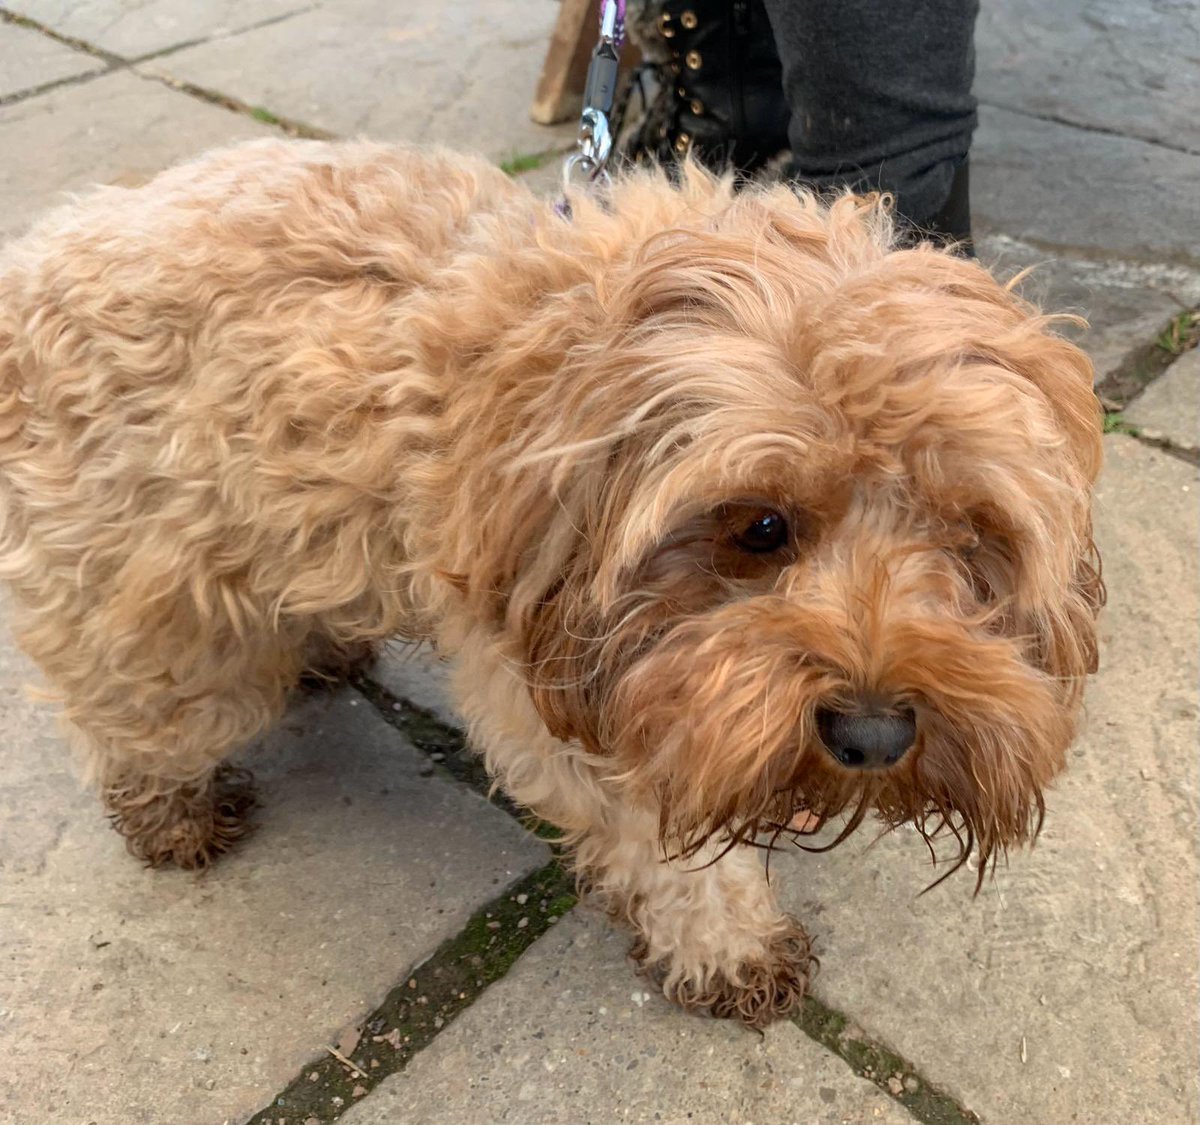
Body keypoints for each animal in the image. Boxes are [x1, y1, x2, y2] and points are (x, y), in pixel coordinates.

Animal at [0, 136, 1104, 1021]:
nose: (873, 737)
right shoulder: (572, 689)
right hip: (150, 595)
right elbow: (661, 842)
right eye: (761, 526)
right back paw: (170, 806)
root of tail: (47, 249)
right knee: (143, 711)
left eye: (968, 535)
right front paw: (727, 940)